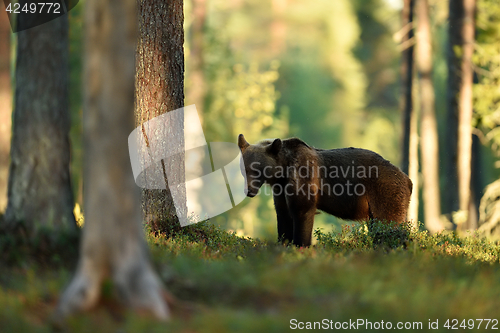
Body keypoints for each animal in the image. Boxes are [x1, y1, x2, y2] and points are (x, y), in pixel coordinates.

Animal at [238, 134, 414, 245]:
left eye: (257, 169)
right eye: (244, 169)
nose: (249, 191)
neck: (283, 170)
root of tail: (408, 179)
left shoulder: (304, 178)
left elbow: (302, 211)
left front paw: (301, 245)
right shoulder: (281, 190)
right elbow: (283, 216)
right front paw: (284, 243)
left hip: (385, 191)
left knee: (389, 224)